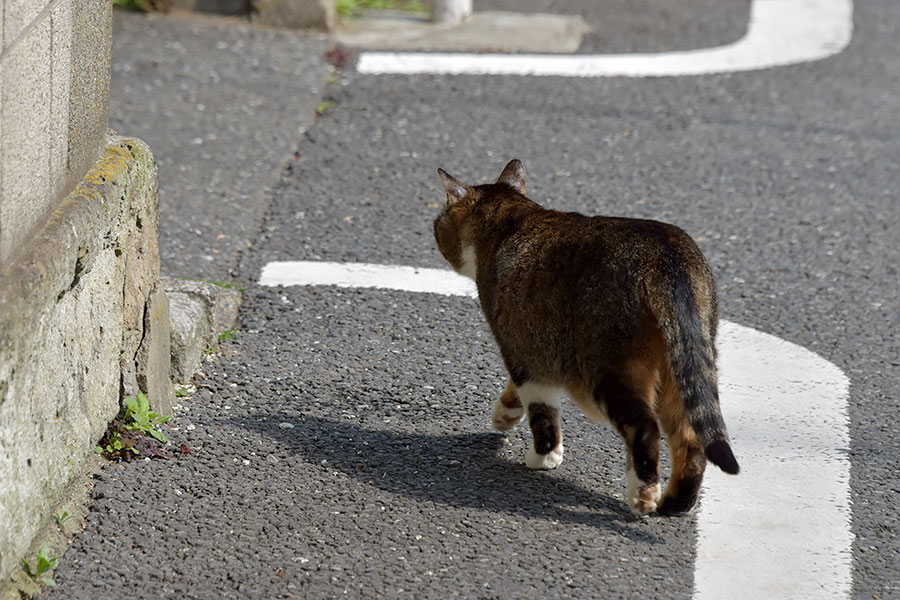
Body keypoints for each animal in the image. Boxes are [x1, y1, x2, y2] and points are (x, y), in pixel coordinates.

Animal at [434, 158, 740, 516]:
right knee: (691, 438)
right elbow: (518, 393)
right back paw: (676, 504)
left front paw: (544, 457)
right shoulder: (534, 347)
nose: (434, 230)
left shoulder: (520, 348)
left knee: (645, 427)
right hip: (683, 365)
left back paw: (643, 493)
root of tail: (666, 258)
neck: (511, 219)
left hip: (608, 369)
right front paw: (506, 413)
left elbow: (541, 410)